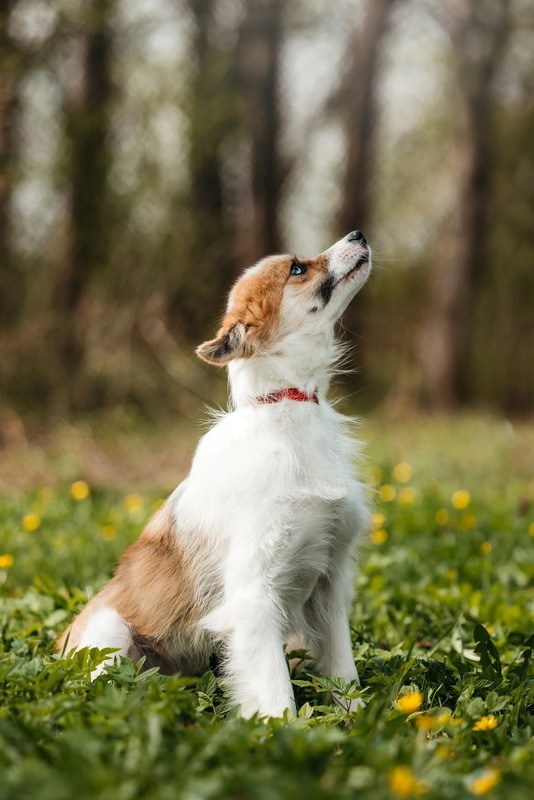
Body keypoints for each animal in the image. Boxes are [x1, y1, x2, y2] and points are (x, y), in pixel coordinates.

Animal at [58, 231, 374, 720]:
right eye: (297, 269)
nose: (357, 234)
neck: (288, 409)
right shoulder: (253, 597)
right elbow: (275, 693)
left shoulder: (329, 583)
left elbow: (344, 673)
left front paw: (358, 723)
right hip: (109, 634)